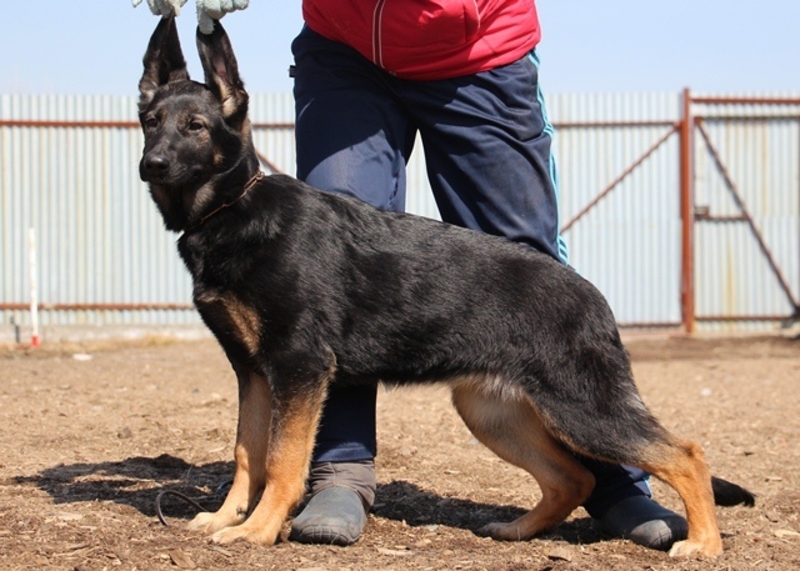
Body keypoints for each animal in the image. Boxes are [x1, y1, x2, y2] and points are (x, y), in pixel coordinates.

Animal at [139, 15, 756, 556]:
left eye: (195, 127)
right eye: (151, 122)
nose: (152, 164)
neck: (232, 209)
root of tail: (591, 294)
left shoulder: (298, 368)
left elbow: (283, 462)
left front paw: (258, 530)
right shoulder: (254, 374)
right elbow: (247, 453)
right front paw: (226, 518)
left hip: (582, 409)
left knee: (685, 454)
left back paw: (702, 543)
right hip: (493, 412)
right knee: (571, 479)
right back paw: (517, 530)